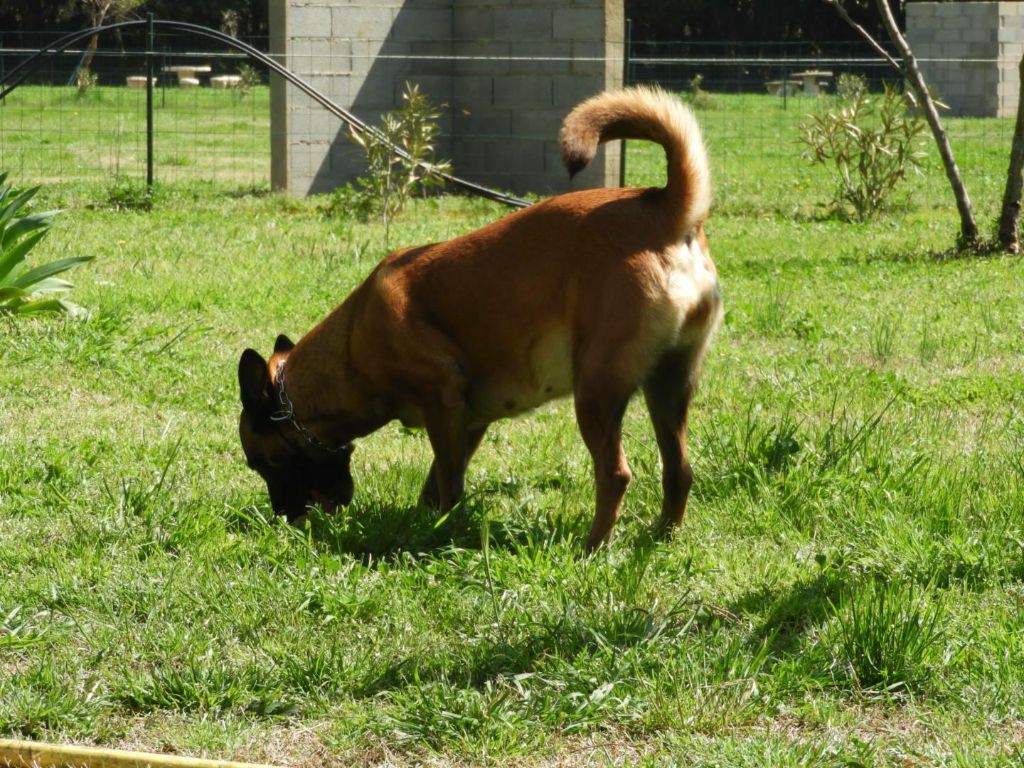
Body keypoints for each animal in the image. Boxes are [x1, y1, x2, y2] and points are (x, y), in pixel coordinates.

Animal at [238, 87, 720, 548]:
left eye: (265, 462)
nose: (284, 516)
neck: (352, 344)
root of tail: (664, 208)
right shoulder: (468, 423)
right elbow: (435, 484)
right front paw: (426, 520)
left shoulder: (443, 406)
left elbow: (450, 484)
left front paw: (446, 531)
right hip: (669, 387)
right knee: (680, 470)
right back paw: (662, 538)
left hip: (597, 392)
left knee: (615, 474)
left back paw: (592, 549)